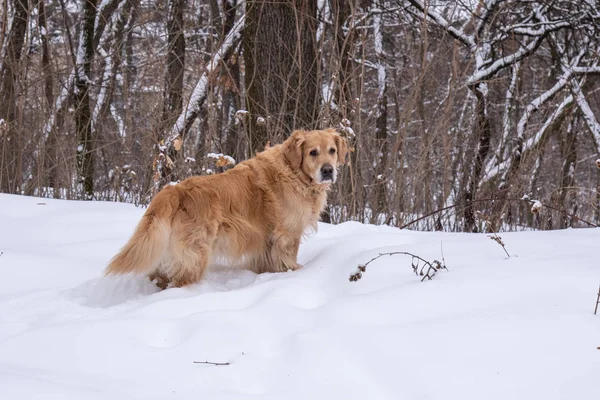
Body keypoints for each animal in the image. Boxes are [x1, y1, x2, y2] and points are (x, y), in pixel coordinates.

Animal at [103, 128, 346, 288]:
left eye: (332, 150)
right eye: (313, 152)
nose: (328, 171)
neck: (294, 171)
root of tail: (175, 190)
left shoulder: (266, 241)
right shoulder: (287, 234)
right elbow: (289, 259)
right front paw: (294, 273)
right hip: (195, 255)